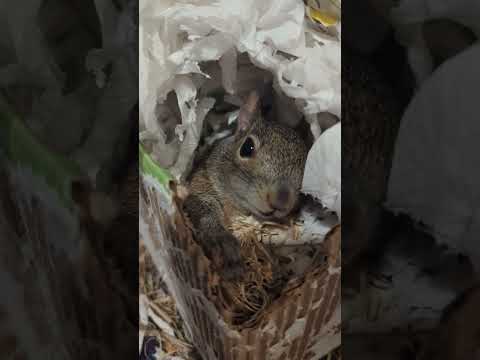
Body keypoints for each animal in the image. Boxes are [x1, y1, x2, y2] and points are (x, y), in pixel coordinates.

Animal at [184, 91, 308, 280]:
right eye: (247, 148)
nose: (280, 201)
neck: (241, 210)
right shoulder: (201, 181)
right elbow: (203, 207)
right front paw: (222, 242)